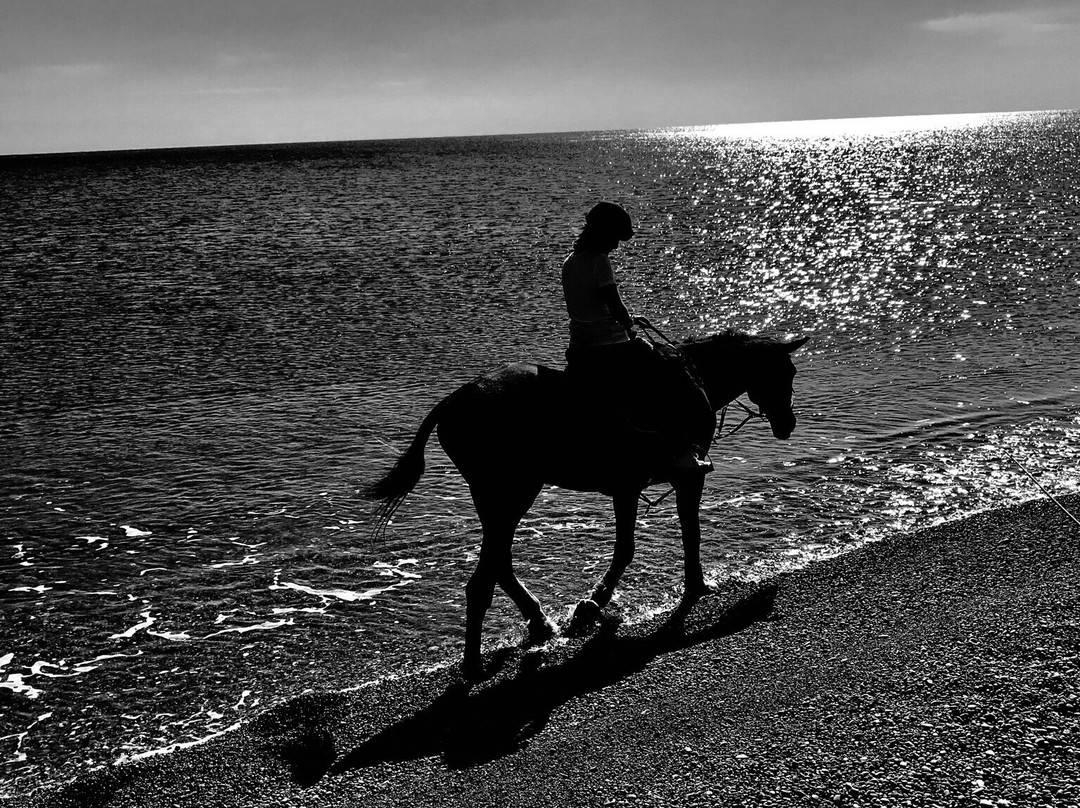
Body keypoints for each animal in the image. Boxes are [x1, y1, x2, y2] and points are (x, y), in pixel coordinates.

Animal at [366, 330, 808, 679]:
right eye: (786, 373)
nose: (788, 424)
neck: (695, 379)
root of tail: (451, 402)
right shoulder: (675, 478)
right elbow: (674, 537)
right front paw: (684, 588)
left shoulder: (629, 487)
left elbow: (642, 543)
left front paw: (593, 605)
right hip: (511, 493)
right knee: (485, 577)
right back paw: (475, 662)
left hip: (496, 498)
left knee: (499, 563)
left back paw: (538, 622)